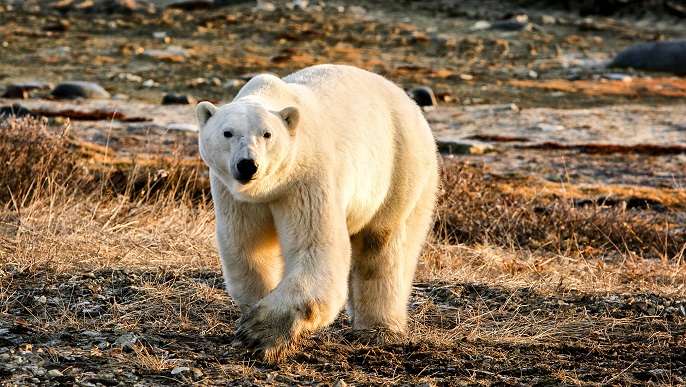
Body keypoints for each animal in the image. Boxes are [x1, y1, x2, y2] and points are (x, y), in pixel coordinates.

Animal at [196, 62, 438, 362]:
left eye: (267, 134)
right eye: (227, 133)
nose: (247, 165)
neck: (269, 188)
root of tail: (409, 103)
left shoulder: (307, 178)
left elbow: (315, 247)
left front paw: (261, 331)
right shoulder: (234, 196)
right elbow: (247, 246)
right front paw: (253, 310)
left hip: (400, 168)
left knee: (384, 246)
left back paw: (378, 328)